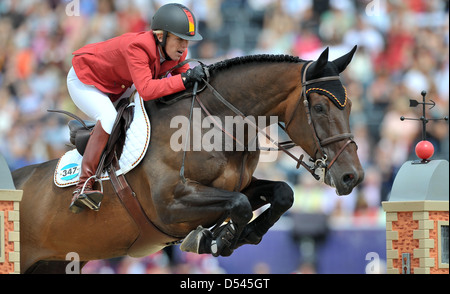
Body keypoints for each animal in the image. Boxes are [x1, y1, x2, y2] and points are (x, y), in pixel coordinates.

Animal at [12, 46, 364, 274]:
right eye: (319, 108)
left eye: (348, 107)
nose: (353, 177)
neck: (215, 123)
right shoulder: (170, 205)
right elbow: (239, 205)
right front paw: (214, 240)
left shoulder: (237, 186)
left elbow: (281, 194)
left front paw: (238, 236)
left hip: (53, 264)